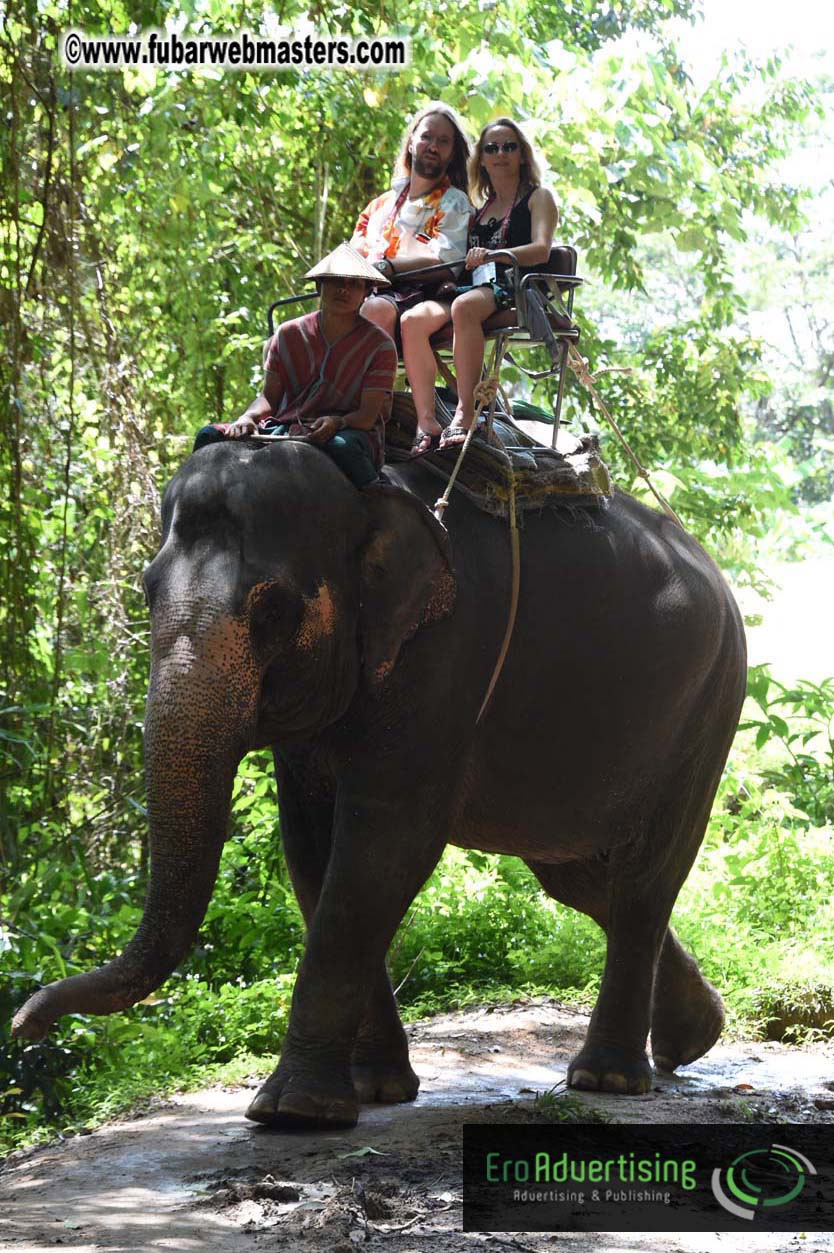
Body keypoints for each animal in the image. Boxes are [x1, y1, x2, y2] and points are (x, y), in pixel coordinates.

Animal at [12, 436, 747, 1128]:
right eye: (145, 591)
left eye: (273, 610)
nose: (26, 1022)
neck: (363, 491)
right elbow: (311, 847)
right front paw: (374, 1090)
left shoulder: (449, 651)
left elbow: (384, 842)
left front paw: (292, 1110)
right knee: (579, 878)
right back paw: (693, 1037)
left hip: (711, 705)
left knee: (646, 876)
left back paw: (608, 1078)